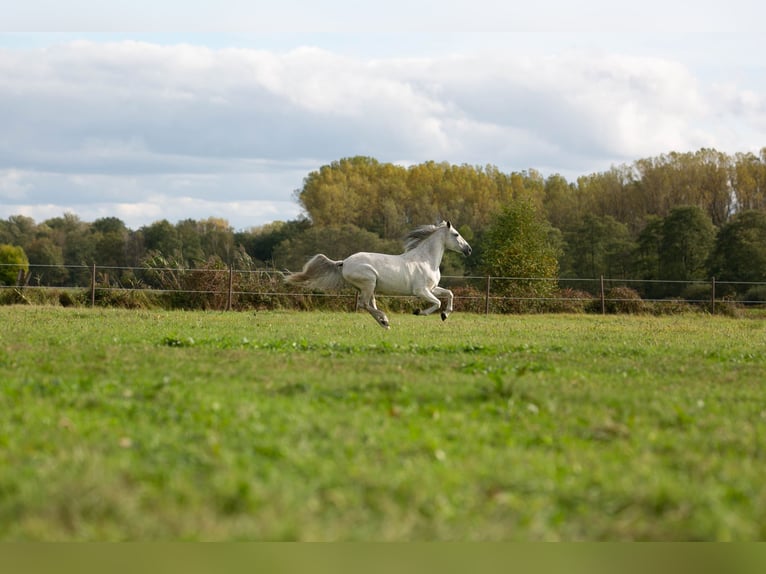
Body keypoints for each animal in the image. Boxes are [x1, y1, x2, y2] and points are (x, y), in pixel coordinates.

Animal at [286, 221, 472, 328]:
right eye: (456, 234)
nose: (469, 250)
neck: (425, 260)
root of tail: (344, 262)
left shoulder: (432, 289)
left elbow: (449, 294)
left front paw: (445, 315)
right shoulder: (421, 291)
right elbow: (437, 302)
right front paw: (419, 311)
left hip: (369, 287)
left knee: (369, 304)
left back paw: (384, 323)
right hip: (369, 284)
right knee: (364, 304)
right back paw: (384, 319)